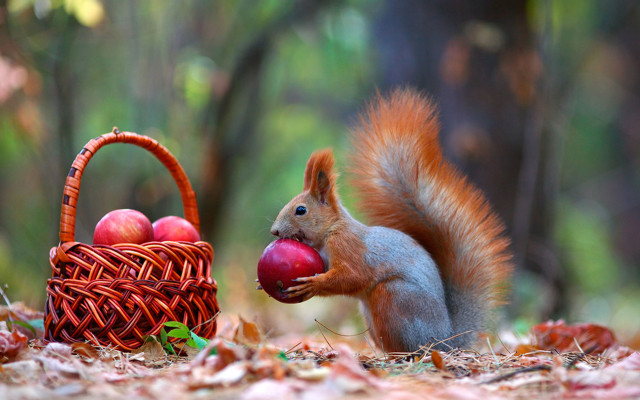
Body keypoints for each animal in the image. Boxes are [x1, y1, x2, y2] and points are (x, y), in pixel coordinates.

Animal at [269, 88, 513, 352]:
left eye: (300, 210)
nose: (274, 231)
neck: (331, 231)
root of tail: (445, 340)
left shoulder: (349, 247)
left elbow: (351, 277)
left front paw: (313, 285)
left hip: (394, 297)